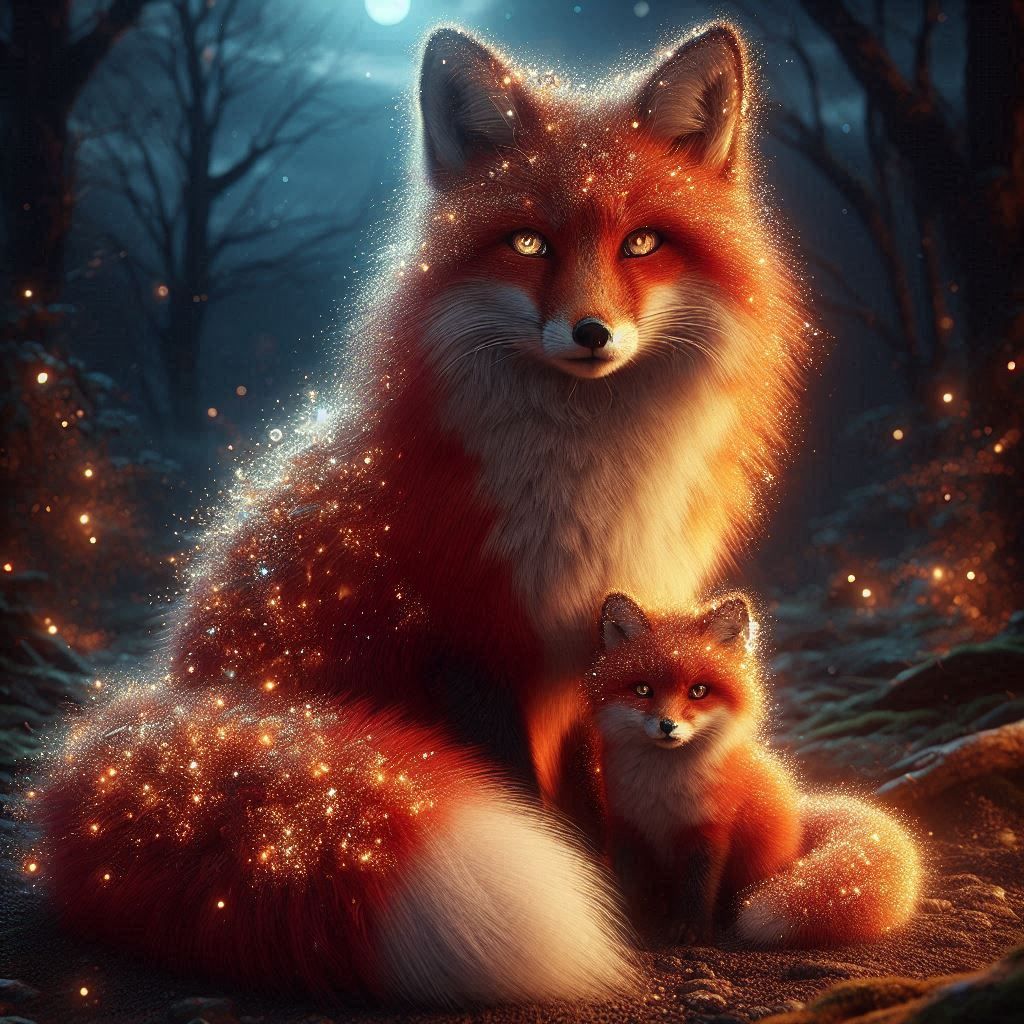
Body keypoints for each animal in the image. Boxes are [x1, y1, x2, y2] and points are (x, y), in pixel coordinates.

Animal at [37, 21, 808, 1005]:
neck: (580, 480)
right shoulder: (469, 641)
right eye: (528, 242)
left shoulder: (590, 649)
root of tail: (173, 700)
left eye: (642, 242)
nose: (590, 333)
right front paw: (601, 900)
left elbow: (597, 790)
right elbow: (533, 795)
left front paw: (636, 899)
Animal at [588, 591, 921, 947]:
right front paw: (626, 923)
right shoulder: (626, 826)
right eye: (642, 690)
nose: (667, 726)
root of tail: (798, 816)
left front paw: (691, 929)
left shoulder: (709, 830)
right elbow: (627, 885)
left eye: (698, 691)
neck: (662, 793)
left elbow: (696, 888)